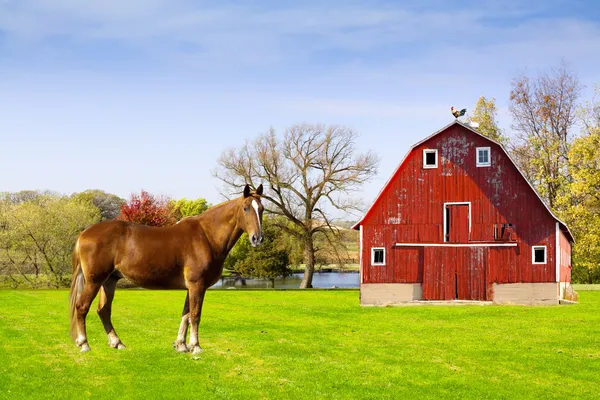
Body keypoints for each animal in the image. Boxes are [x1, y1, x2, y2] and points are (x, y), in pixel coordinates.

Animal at [68, 184, 262, 354]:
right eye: (246, 208)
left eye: (261, 209)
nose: (257, 239)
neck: (207, 236)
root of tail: (84, 234)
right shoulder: (197, 284)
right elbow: (195, 315)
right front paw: (196, 346)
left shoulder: (190, 287)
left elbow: (185, 315)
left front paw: (182, 346)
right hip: (94, 281)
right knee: (82, 306)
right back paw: (84, 344)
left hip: (109, 281)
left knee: (104, 310)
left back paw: (117, 343)